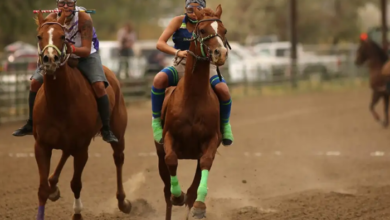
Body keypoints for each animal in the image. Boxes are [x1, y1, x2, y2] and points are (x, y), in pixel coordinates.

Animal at [32, 10, 133, 220]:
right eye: (39, 36)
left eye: (62, 37)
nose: (50, 59)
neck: (59, 103)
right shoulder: (41, 145)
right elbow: (42, 189)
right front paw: (49, 190)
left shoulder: (82, 149)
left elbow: (76, 183)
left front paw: (77, 213)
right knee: (64, 155)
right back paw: (54, 185)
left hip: (118, 134)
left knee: (118, 159)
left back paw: (123, 202)